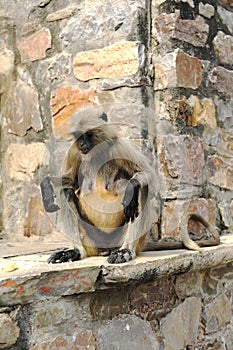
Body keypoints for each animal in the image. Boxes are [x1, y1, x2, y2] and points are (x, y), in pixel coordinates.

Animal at [41, 108, 221, 264]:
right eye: (79, 136)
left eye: (88, 134)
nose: (82, 145)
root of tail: (106, 247)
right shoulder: (74, 151)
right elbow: (69, 181)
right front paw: (46, 186)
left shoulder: (119, 146)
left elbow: (150, 175)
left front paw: (130, 189)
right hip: (91, 238)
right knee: (66, 191)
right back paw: (77, 251)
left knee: (142, 189)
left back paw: (126, 250)